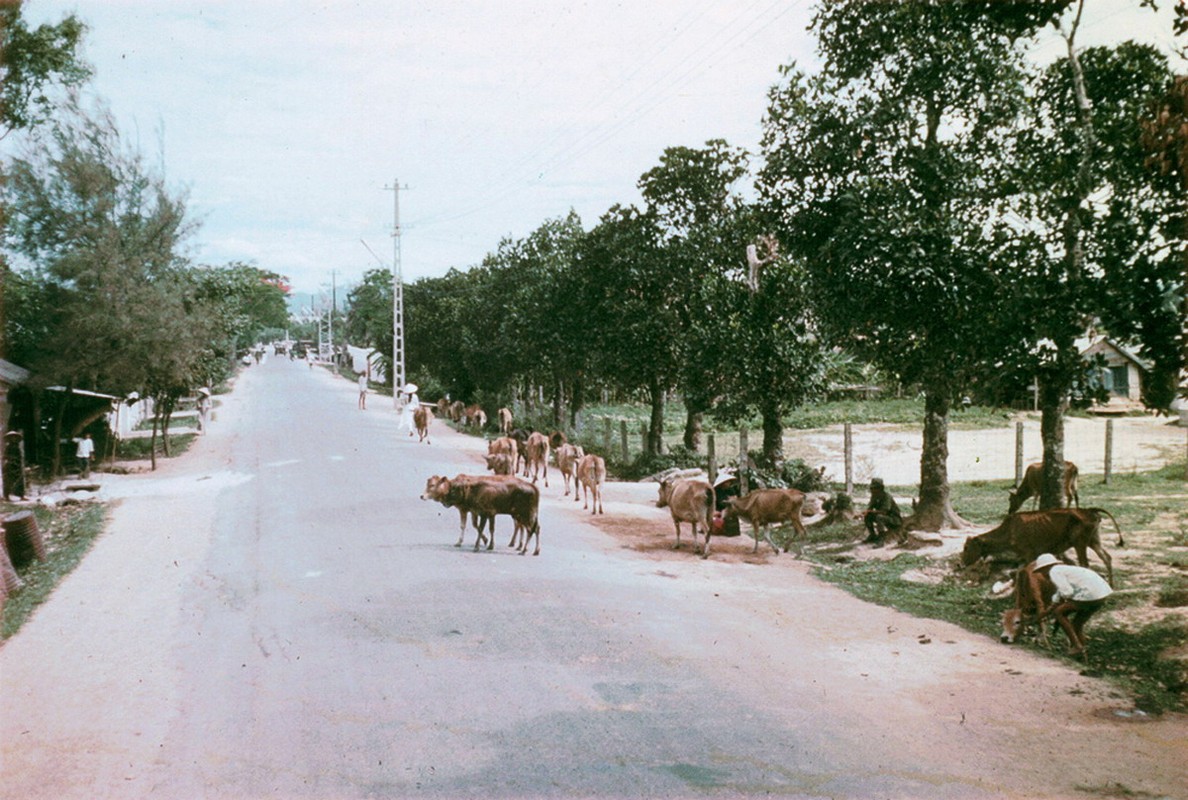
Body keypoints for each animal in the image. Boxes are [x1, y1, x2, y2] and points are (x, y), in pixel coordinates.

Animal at [959, 506, 1116, 587]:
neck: (1009, 530)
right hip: (1094, 541)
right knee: (1106, 557)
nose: (961, 563)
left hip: (1080, 543)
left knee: (1085, 564)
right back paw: (1111, 586)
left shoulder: (1029, 554)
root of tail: (1090, 510)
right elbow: (1018, 573)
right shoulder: (1024, 557)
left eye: (966, 547)